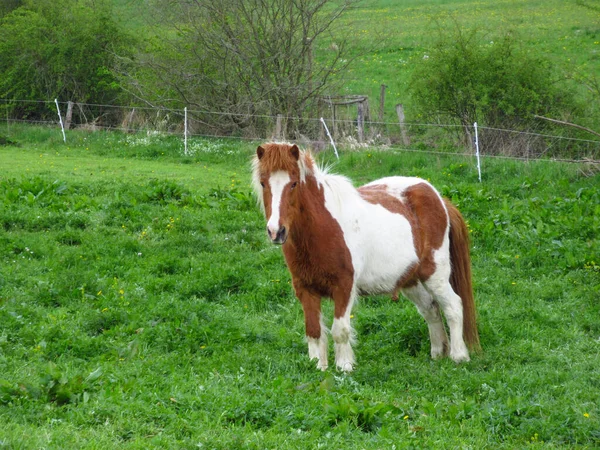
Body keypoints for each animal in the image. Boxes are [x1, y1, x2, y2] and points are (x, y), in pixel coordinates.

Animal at [251, 142, 480, 370]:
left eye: (294, 184)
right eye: (263, 183)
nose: (276, 231)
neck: (322, 228)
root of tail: (439, 199)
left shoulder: (344, 287)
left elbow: (340, 331)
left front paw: (344, 368)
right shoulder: (306, 289)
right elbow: (314, 332)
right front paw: (318, 368)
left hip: (434, 274)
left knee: (453, 306)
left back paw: (459, 356)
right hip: (410, 280)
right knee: (430, 309)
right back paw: (438, 354)